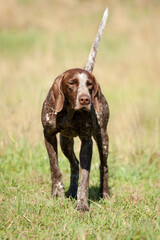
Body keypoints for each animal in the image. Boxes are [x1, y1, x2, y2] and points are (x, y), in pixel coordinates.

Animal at [41, 7, 110, 210]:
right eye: (71, 83)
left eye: (89, 84)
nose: (85, 99)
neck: (69, 113)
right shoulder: (48, 135)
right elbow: (55, 167)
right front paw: (58, 192)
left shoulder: (87, 141)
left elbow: (85, 177)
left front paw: (82, 204)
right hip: (65, 142)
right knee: (74, 164)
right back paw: (71, 190)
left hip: (102, 139)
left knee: (103, 166)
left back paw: (105, 193)